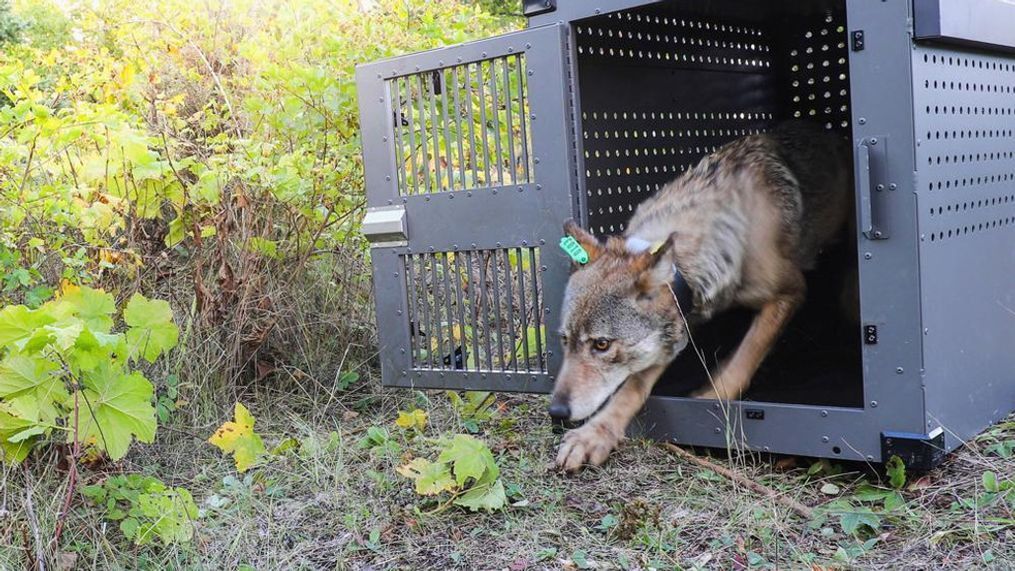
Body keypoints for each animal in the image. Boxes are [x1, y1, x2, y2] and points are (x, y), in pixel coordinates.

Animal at [551, 121, 851, 471]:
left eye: (601, 345)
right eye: (565, 341)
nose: (556, 412)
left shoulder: (790, 291)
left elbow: (746, 356)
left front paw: (711, 398)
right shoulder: (678, 324)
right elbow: (632, 387)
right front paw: (594, 435)